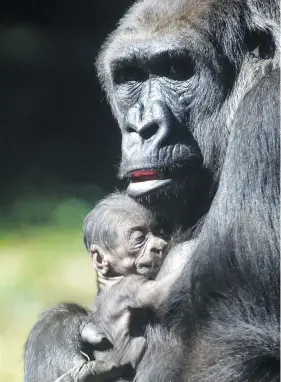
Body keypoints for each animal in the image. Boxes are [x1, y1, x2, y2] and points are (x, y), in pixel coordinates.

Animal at [24, 0, 278, 382]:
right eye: (131, 77)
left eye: (175, 70)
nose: (141, 127)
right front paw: (60, 333)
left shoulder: (268, 112)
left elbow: (221, 341)